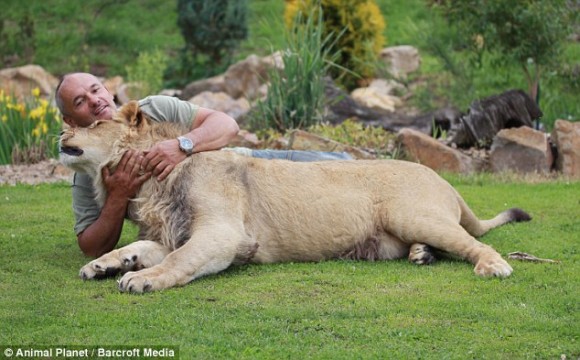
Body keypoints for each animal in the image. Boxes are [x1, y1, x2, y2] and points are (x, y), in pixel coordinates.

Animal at [59, 100, 532, 292]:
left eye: (94, 123)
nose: (61, 131)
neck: (152, 182)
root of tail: (443, 179)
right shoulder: (172, 234)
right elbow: (138, 246)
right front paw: (103, 264)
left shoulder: (223, 235)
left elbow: (178, 262)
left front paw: (141, 279)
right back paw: (421, 254)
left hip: (415, 215)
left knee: (473, 242)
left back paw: (493, 265)